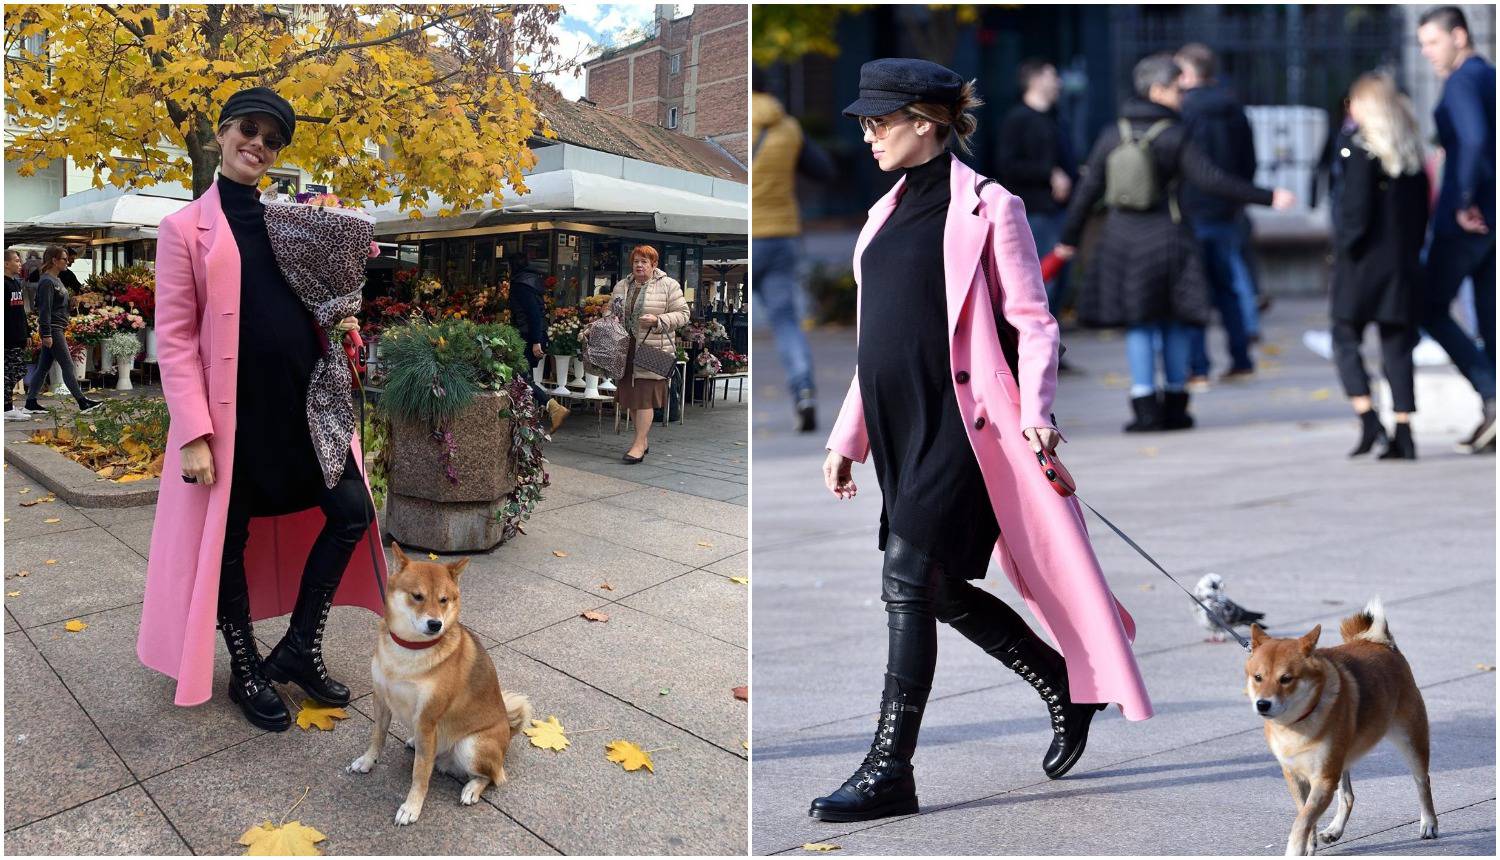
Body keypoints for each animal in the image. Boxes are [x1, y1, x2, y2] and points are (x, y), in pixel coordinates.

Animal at [348, 543, 537, 822]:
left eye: (444, 599)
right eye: (417, 596)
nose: (435, 624)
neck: (410, 651)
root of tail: (508, 733)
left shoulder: (428, 718)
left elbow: (420, 772)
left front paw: (412, 807)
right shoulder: (381, 699)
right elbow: (377, 736)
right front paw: (367, 761)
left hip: (470, 747)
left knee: (493, 776)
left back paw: (471, 789)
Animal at [1248, 597, 1434, 852]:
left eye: (1286, 679)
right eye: (1258, 677)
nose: (1263, 704)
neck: (1297, 723)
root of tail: (1380, 643)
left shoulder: (1324, 779)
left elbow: (1302, 821)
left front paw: (1295, 848)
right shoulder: (1295, 775)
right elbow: (1305, 814)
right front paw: (1310, 845)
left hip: (1411, 740)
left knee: (1422, 782)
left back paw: (1429, 823)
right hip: (1343, 758)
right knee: (1347, 797)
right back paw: (1334, 830)